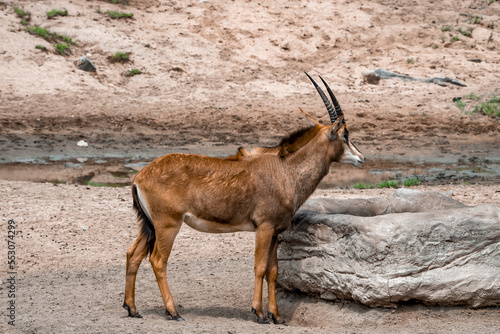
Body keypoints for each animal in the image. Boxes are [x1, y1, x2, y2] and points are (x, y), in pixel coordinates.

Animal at [121, 72, 364, 324]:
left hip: (150, 226)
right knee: (158, 261)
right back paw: (173, 311)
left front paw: (277, 316)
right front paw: (259, 312)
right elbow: (260, 267)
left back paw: (132, 308)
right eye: (345, 134)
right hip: (168, 225)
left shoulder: (275, 231)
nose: (362, 158)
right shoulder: (264, 228)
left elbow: (273, 271)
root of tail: (140, 176)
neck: (285, 170)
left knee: (133, 254)